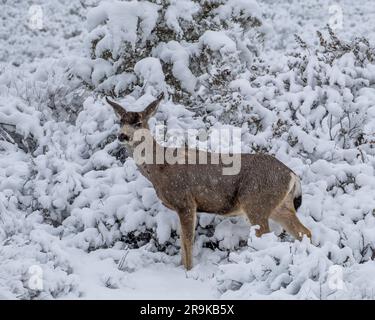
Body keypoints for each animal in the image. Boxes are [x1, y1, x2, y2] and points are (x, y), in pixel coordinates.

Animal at [106, 93, 312, 270]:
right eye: (120, 121)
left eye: (138, 122)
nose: (122, 135)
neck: (159, 167)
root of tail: (292, 175)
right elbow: (183, 241)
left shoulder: (185, 202)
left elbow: (187, 242)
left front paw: (188, 272)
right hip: (280, 206)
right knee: (304, 232)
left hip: (256, 202)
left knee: (268, 236)